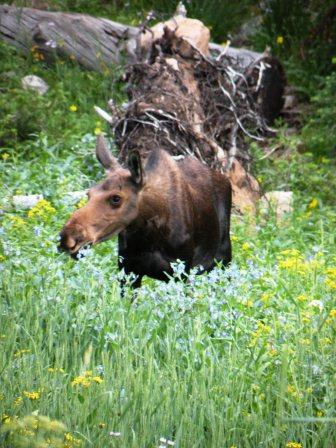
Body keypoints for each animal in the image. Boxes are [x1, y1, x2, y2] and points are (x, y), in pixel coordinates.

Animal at [59, 135, 232, 288]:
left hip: (223, 260)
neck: (149, 236)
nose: (68, 236)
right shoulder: (127, 271)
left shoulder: (182, 273)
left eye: (116, 198)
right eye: (89, 194)